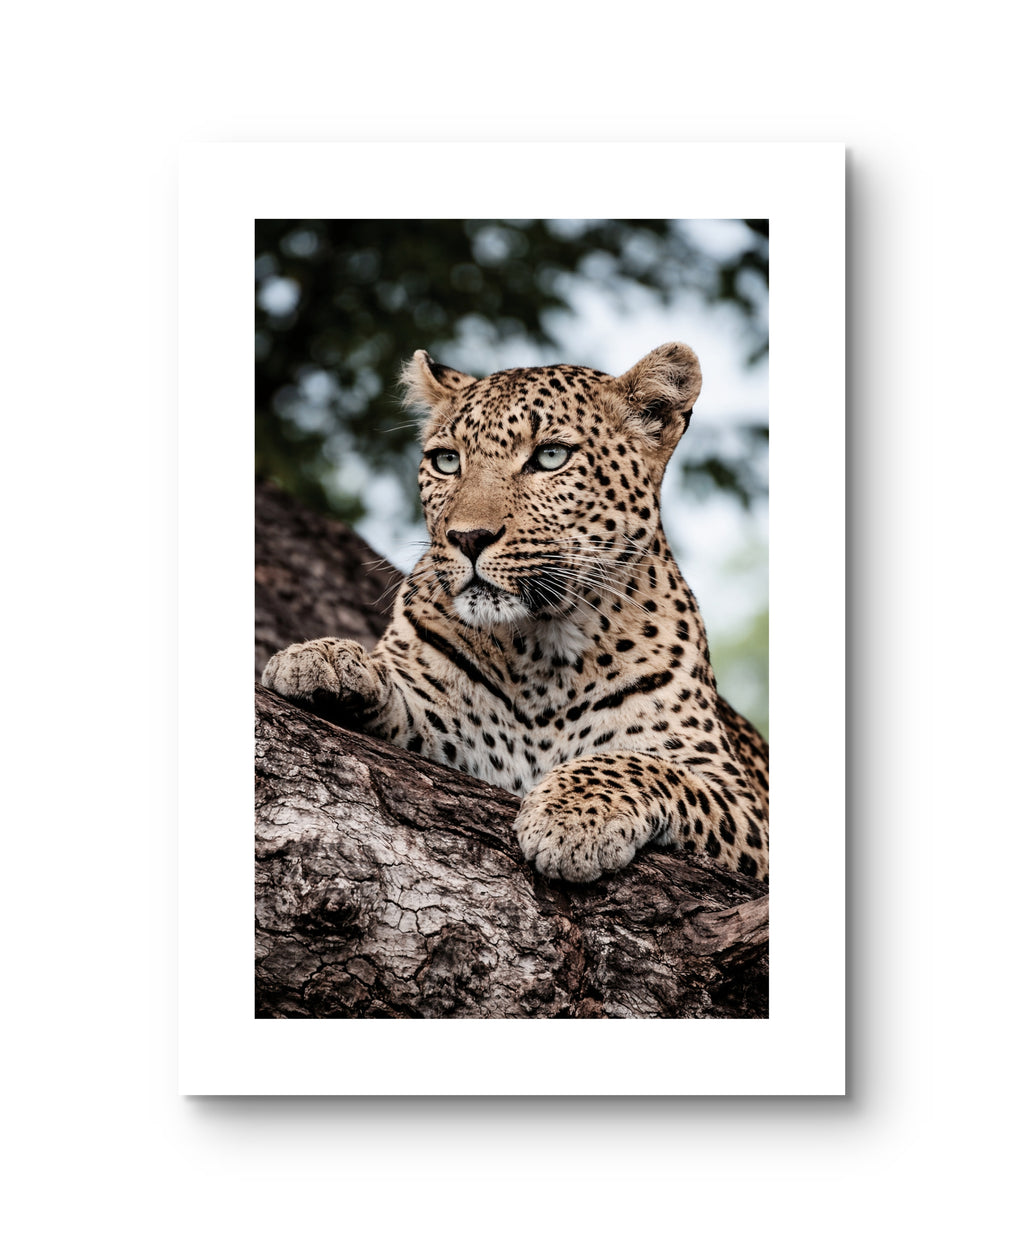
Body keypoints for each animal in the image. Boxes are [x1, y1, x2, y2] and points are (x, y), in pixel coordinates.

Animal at [262, 343, 768, 883]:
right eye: (446, 461)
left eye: (550, 456)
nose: (467, 538)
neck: (544, 649)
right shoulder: (446, 727)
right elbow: (401, 691)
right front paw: (326, 660)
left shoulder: (739, 798)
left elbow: (642, 764)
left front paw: (573, 816)